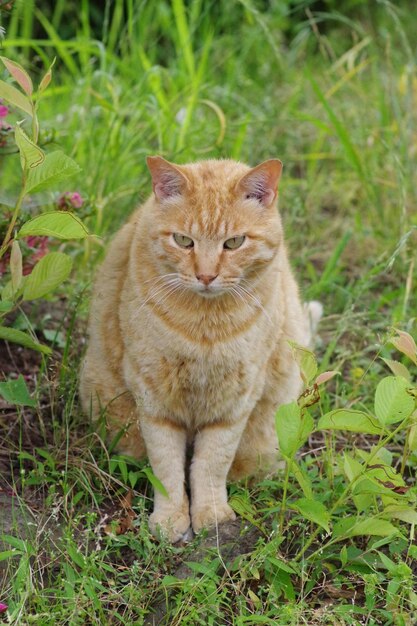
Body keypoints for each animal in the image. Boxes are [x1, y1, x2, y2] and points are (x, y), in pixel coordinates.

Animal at [79, 156, 318, 540]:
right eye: (183, 240)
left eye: (234, 242)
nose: (206, 276)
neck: (205, 328)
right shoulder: (154, 399)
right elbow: (166, 468)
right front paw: (170, 520)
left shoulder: (234, 403)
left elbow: (211, 464)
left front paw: (211, 516)